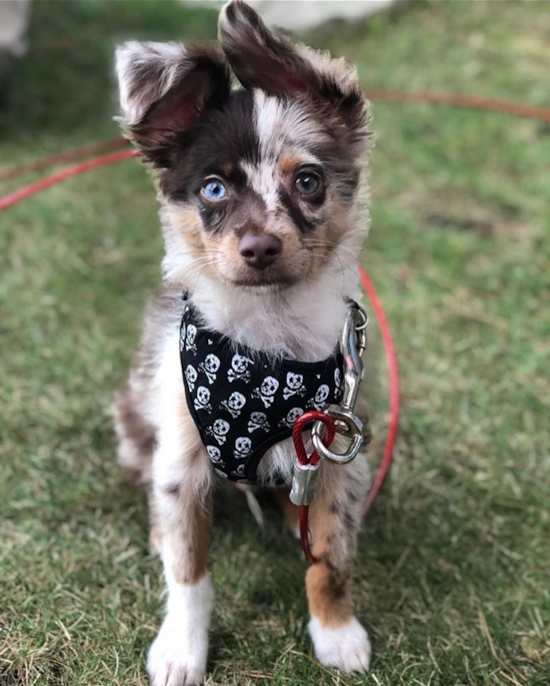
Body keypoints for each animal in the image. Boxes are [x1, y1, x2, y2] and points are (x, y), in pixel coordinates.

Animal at [116, 2, 376, 684]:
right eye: (213, 188)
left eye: (308, 181)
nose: (260, 247)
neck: (266, 345)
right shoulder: (182, 464)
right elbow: (189, 574)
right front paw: (181, 650)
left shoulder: (337, 454)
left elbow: (330, 559)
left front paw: (337, 634)